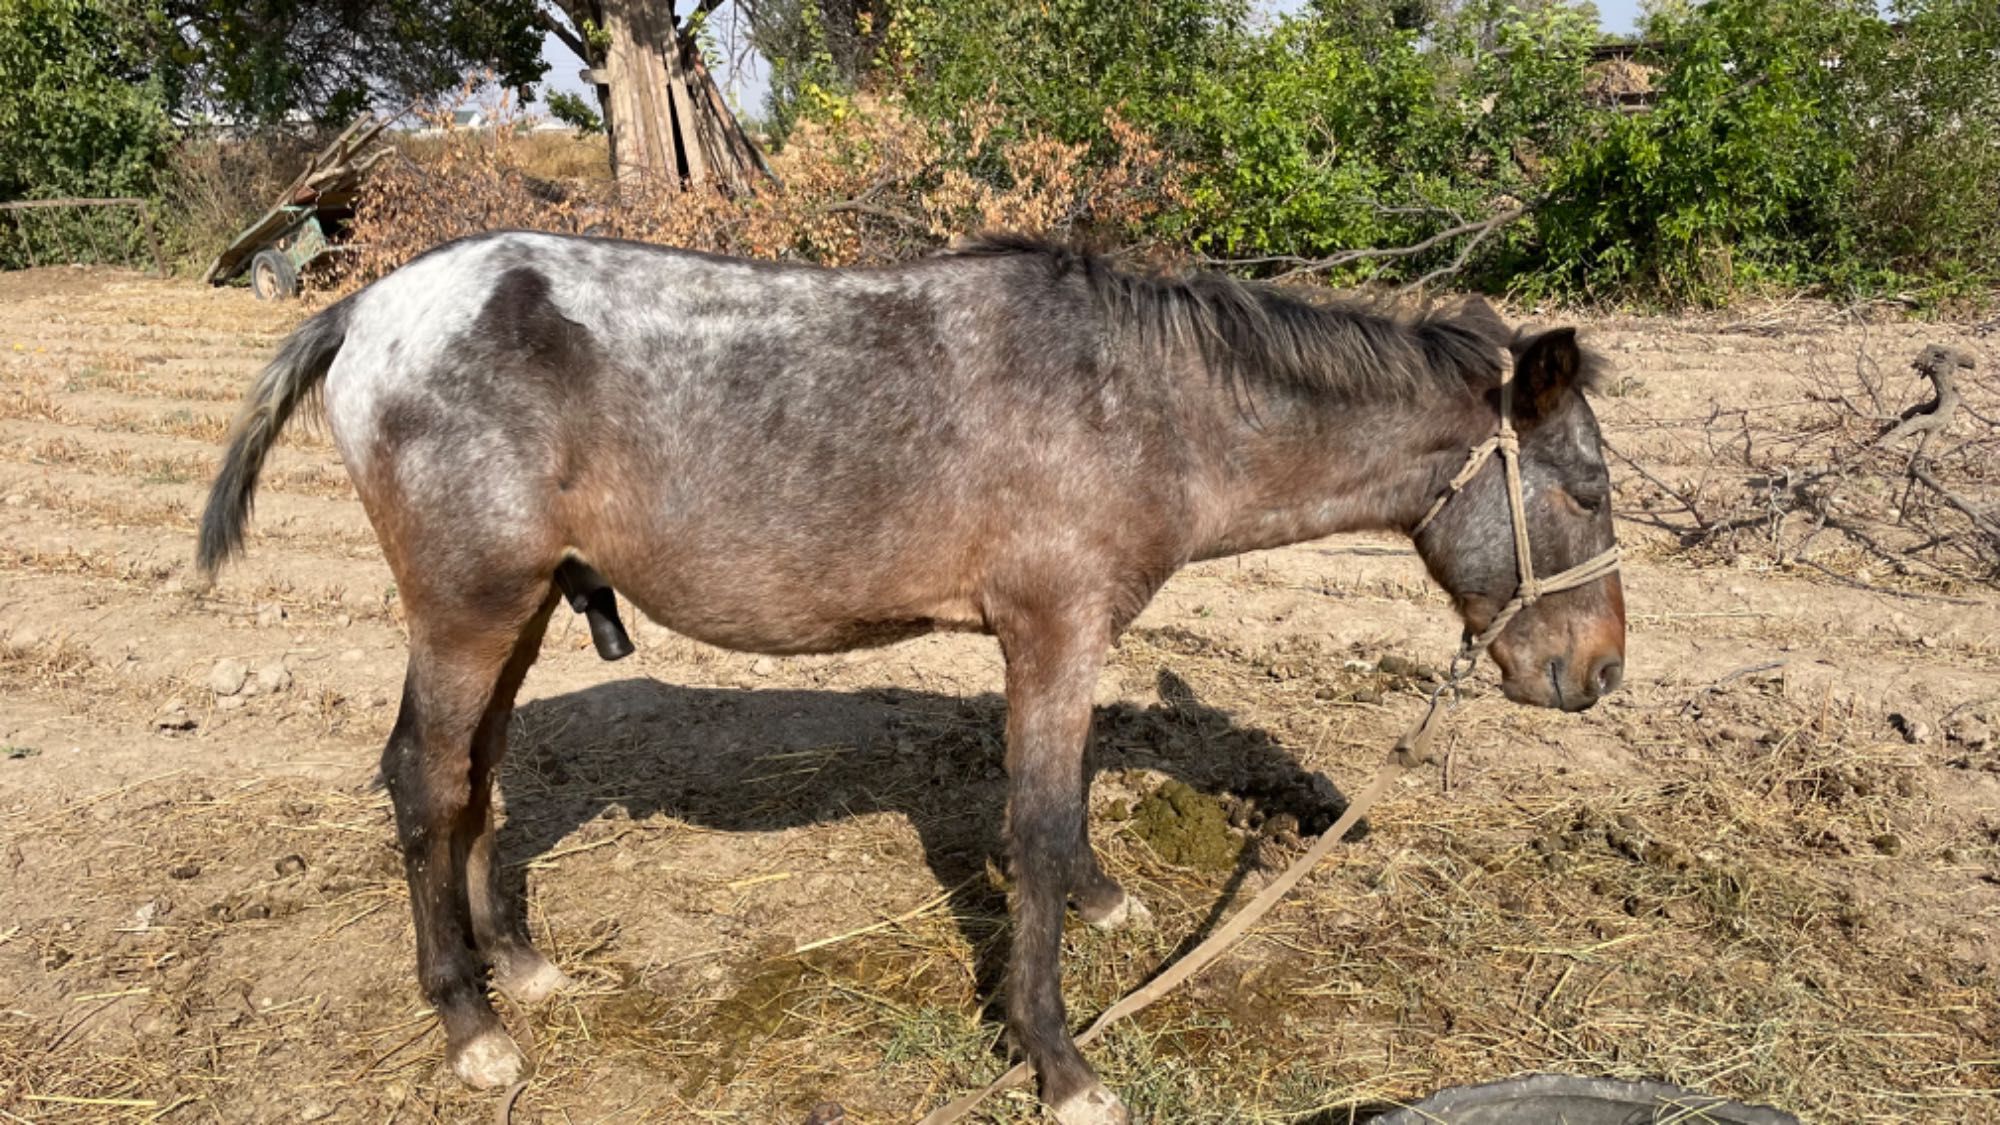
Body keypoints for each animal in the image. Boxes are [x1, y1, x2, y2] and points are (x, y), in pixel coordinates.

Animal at [191, 230, 1624, 1120]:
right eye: (1588, 490)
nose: (1597, 673)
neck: (1139, 401)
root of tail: (367, 307)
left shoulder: (1059, 642)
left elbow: (1061, 808)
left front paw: (1103, 905)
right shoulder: (1052, 627)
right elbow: (1033, 827)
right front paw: (1059, 1064)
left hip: (527, 605)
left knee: (479, 774)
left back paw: (519, 968)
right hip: (467, 607)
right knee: (425, 782)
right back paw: (470, 1023)